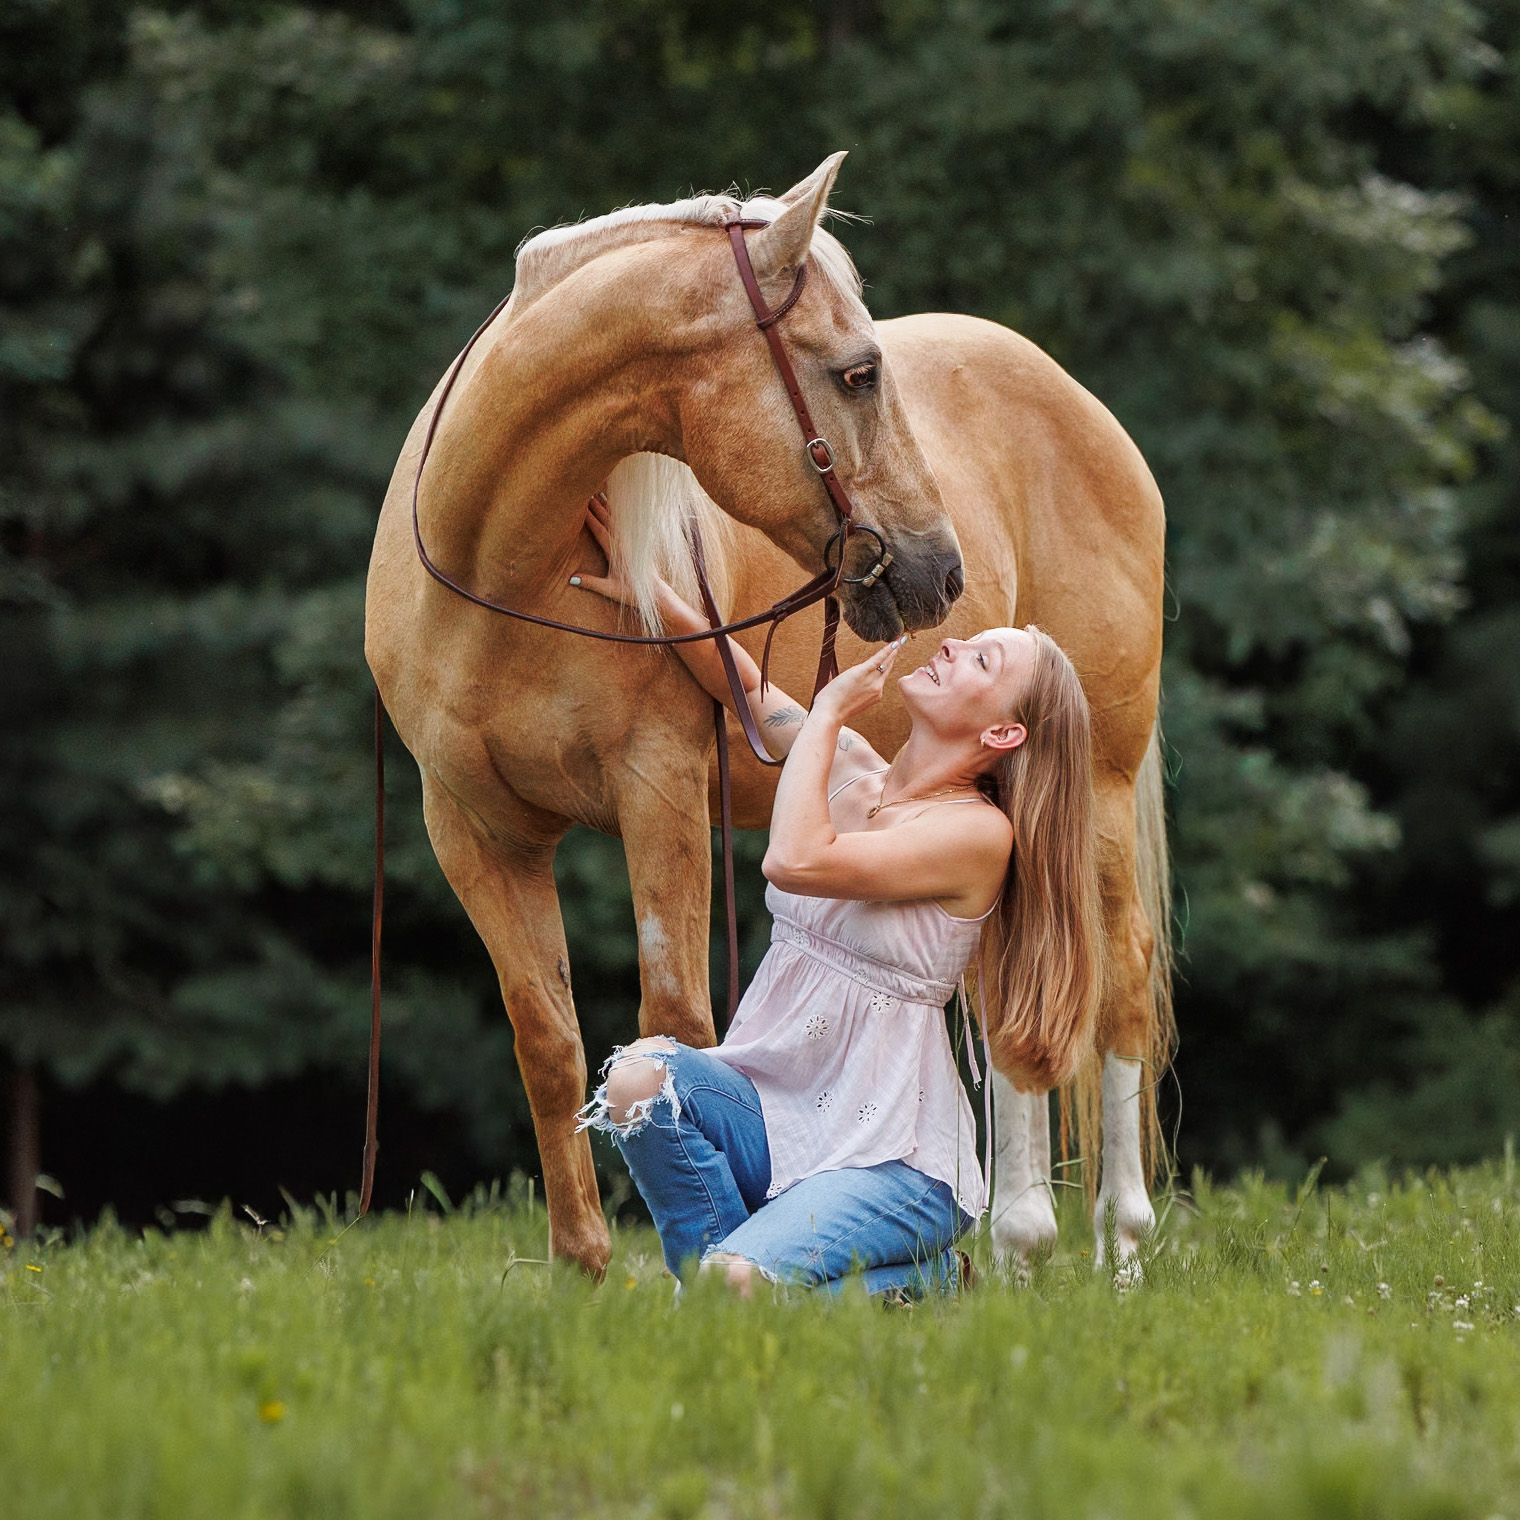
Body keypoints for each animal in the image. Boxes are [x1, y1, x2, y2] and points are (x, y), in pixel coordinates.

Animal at [365, 153, 1170, 1275]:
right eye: (857, 373)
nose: (939, 569)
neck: (501, 573)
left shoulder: (659, 792)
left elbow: (675, 1023)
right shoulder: (474, 830)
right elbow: (548, 1039)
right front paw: (583, 1269)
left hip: (1093, 781)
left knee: (1118, 976)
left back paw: (1118, 1249)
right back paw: (1015, 1248)